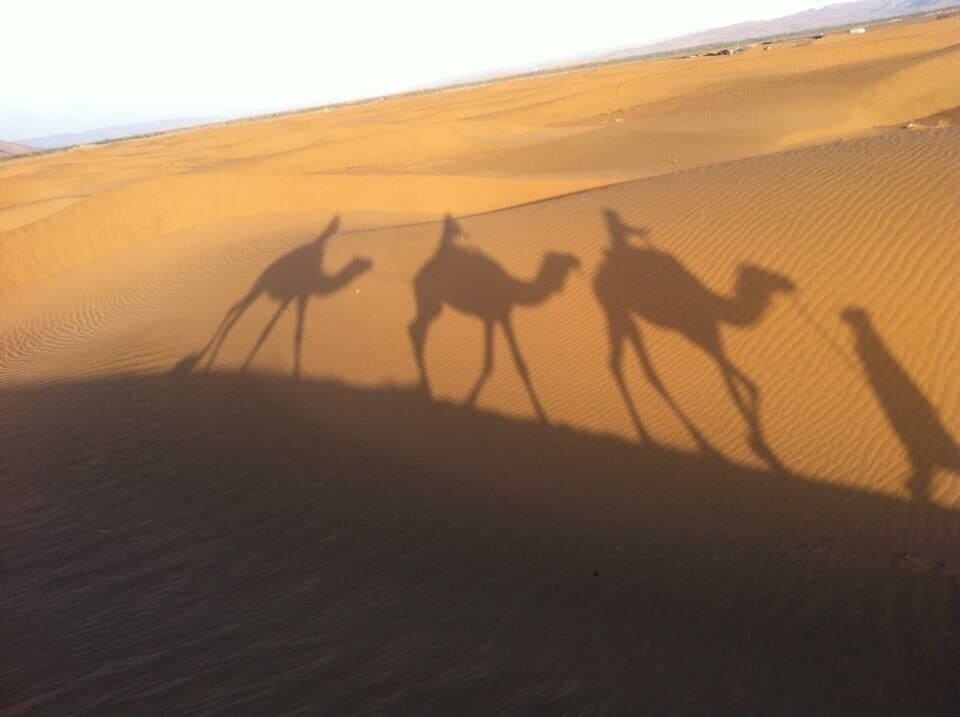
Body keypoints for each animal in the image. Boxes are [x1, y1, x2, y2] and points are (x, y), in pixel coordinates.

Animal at [177, 215, 372, 379]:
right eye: (363, 262)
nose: (371, 266)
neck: (321, 279)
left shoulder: (295, 297)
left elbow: (284, 332)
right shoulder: (301, 294)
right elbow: (288, 333)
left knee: (235, 308)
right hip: (259, 286)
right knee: (236, 309)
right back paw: (208, 360)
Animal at [409, 215, 580, 422]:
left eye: (565, 266)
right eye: (557, 264)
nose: (559, 285)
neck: (511, 288)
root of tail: (418, 274)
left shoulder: (492, 317)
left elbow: (490, 362)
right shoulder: (502, 314)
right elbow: (517, 362)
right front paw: (543, 416)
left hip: (434, 304)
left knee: (416, 329)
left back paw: (425, 387)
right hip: (430, 300)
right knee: (416, 329)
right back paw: (426, 388)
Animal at [593, 209, 795, 467]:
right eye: (759, 273)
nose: (790, 284)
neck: (717, 308)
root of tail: (599, 272)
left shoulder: (712, 339)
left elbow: (750, 386)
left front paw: (756, 440)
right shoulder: (704, 337)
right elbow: (734, 388)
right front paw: (759, 444)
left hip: (624, 314)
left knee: (630, 364)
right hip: (615, 309)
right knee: (622, 362)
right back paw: (655, 437)